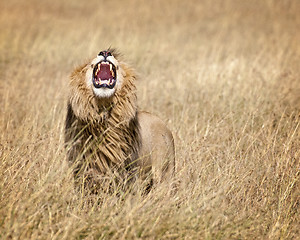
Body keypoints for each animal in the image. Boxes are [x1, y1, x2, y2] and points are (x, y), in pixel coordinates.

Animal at [64, 49, 175, 193]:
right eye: (89, 64)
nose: (105, 52)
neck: (103, 110)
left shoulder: (129, 173)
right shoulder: (81, 168)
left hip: (165, 172)